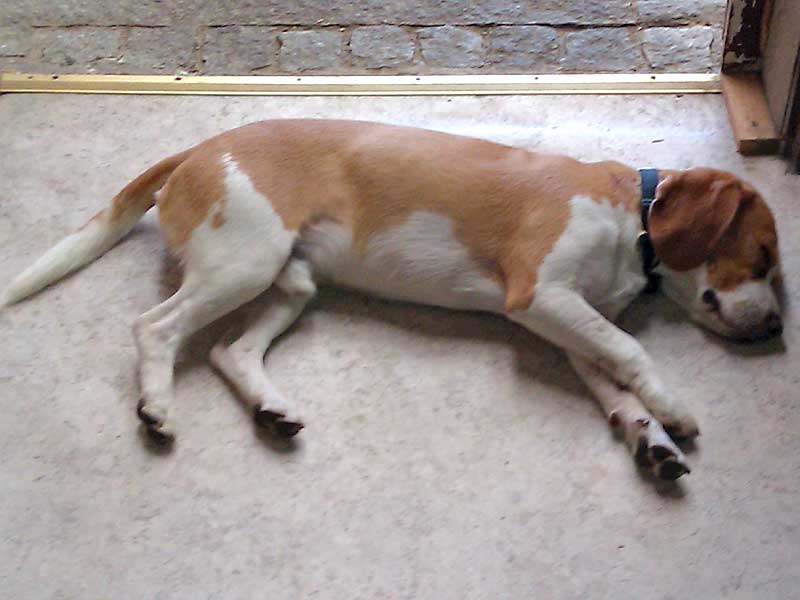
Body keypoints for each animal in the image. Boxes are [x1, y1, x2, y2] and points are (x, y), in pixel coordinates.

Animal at [4, 119, 783, 480]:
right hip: (243, 265)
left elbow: (618, 385)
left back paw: (271, 409)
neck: (637, 220)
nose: (776, 328)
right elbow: (630, 348)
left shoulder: (566, 329)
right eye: (765, 256)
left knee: (229, 350)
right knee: (155, 327)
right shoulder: (542, 295)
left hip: (288, 283)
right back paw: (157, 407)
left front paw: (651, 441)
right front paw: (674, 409)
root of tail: (199, 149)